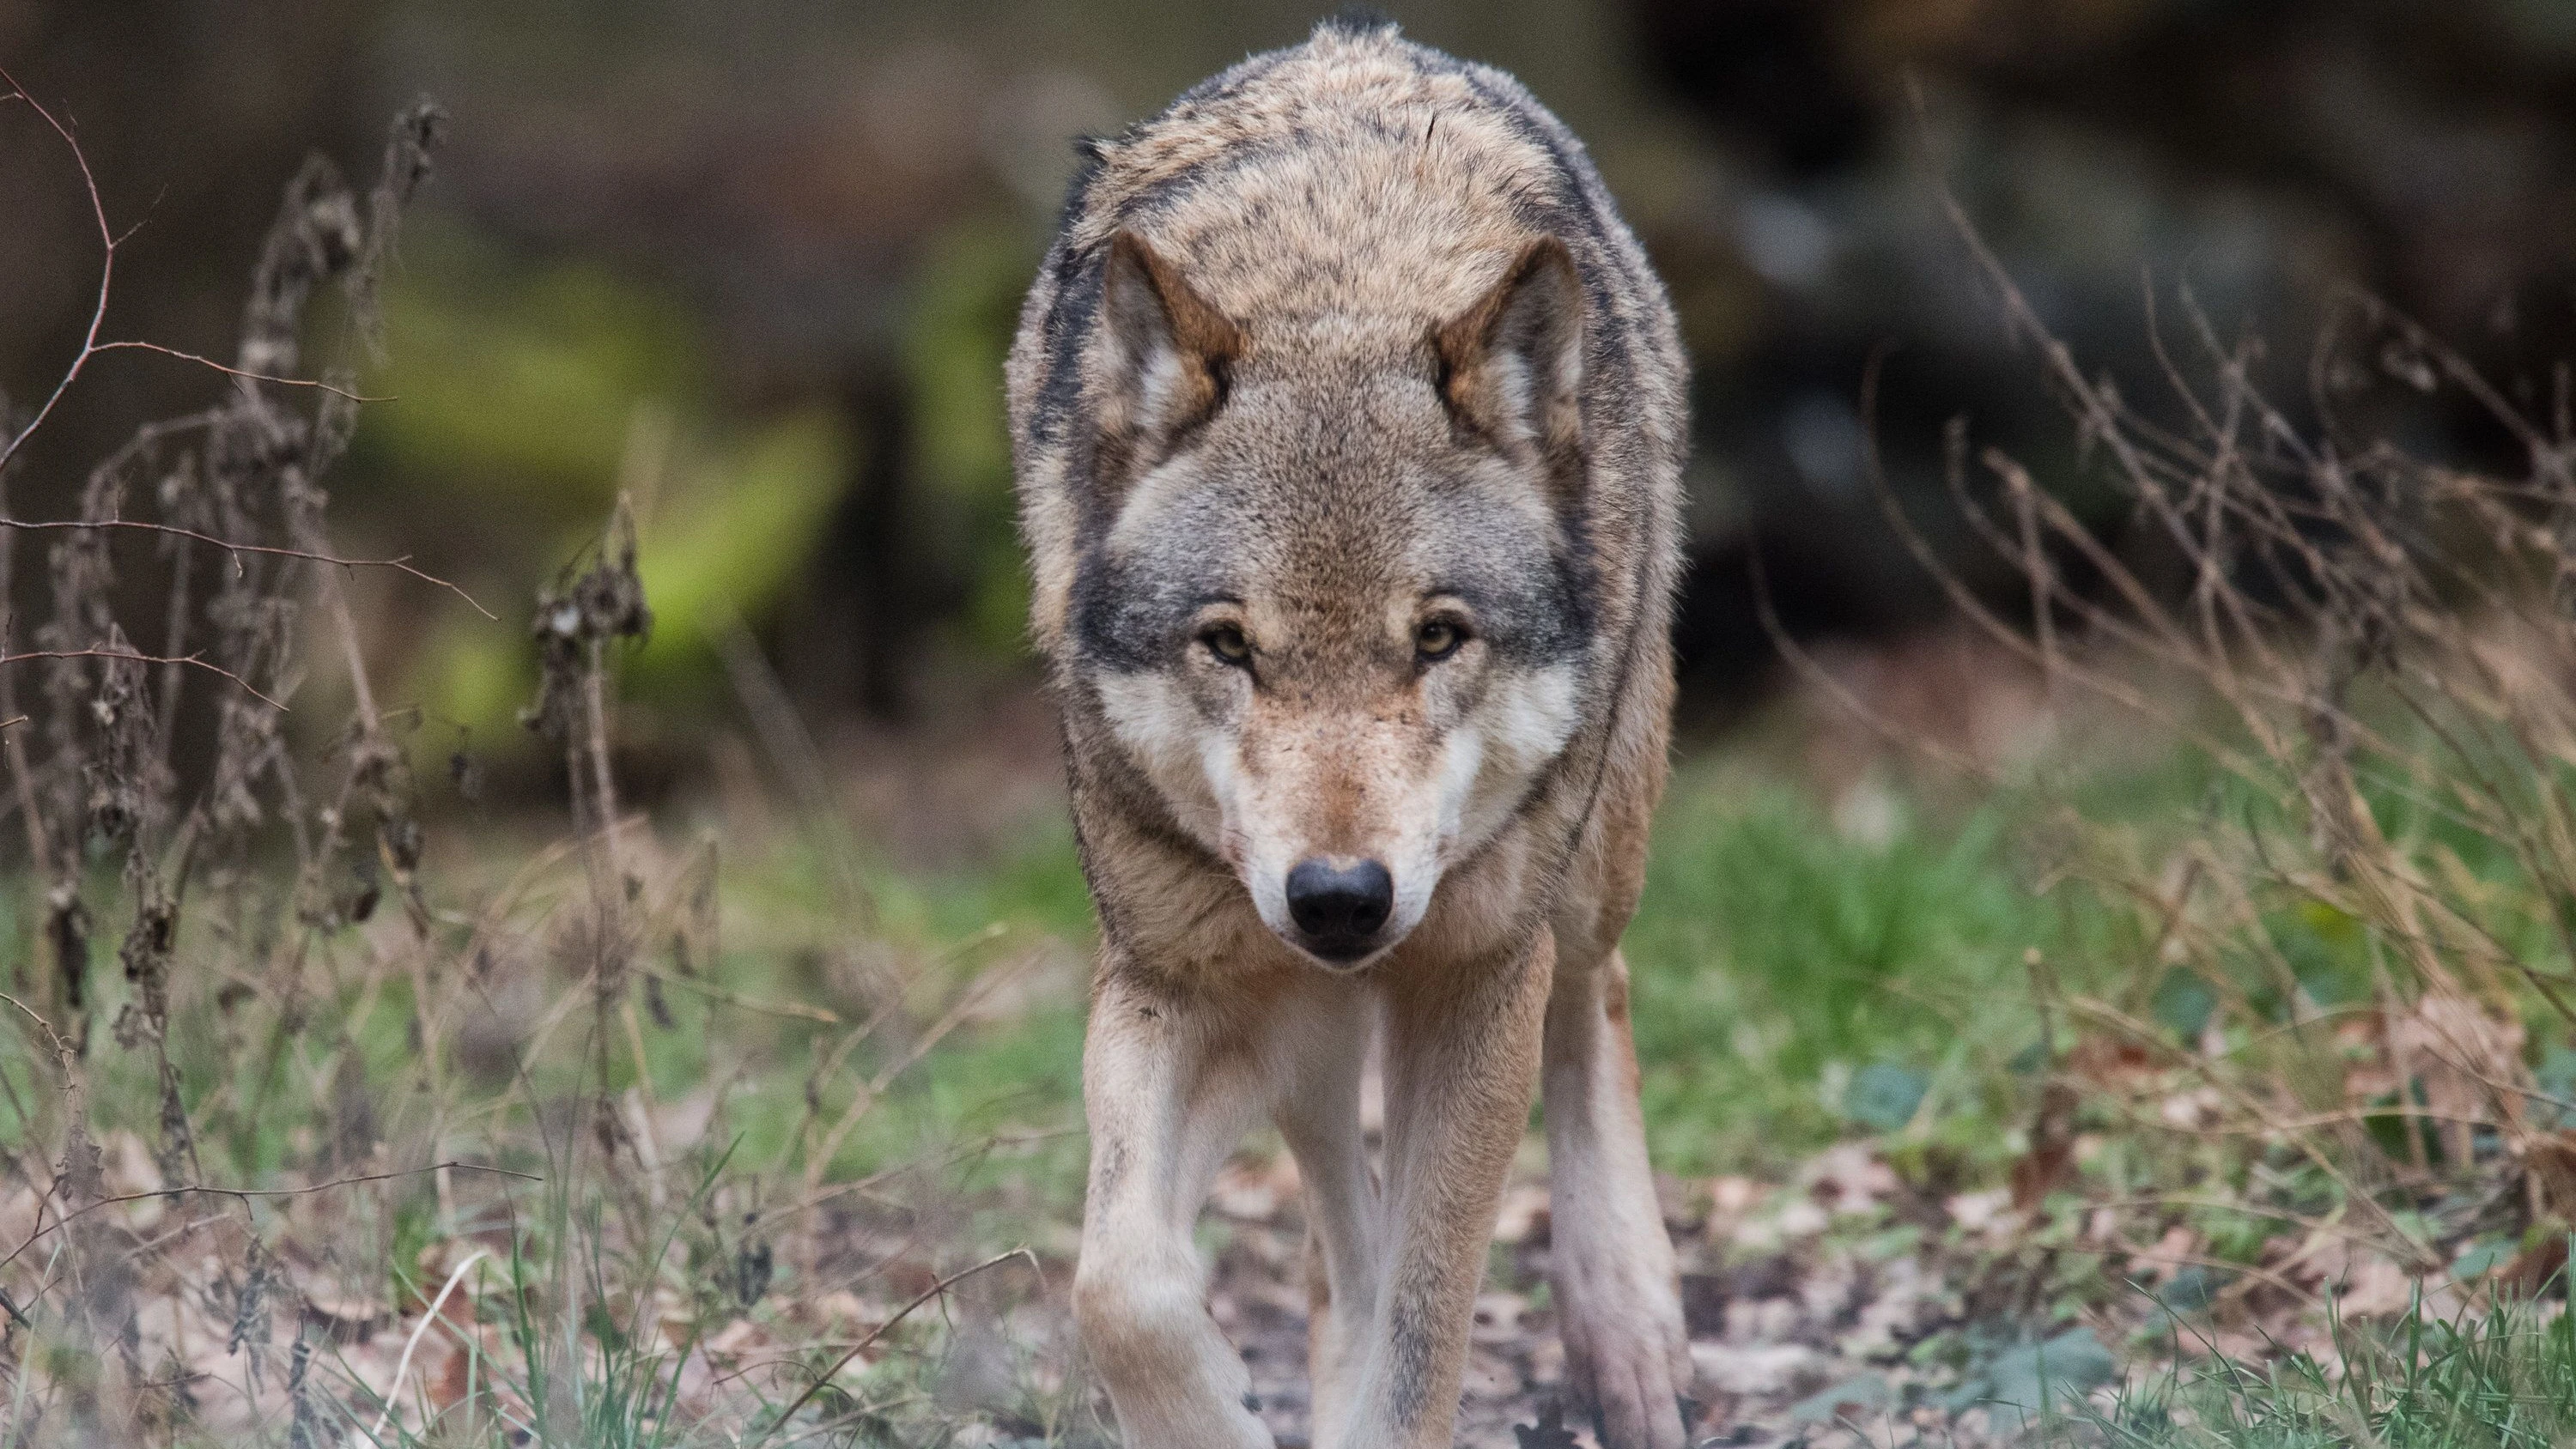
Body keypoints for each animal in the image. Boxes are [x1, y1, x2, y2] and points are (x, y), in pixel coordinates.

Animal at [1007, 17, 1693, 1448]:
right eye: (1229, 645)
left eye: (1437, 638)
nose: (1339, 897)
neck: (1342, 285)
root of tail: (1363, 38)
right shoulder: (1179, 977)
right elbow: (1119, 1283)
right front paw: (1215, 1411)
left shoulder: (1476, 982)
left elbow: (1425, 1331)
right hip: (1303, 1024)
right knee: (1338, 1227)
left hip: (1586, 858)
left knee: (1596, 994)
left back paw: (1630, 1333)